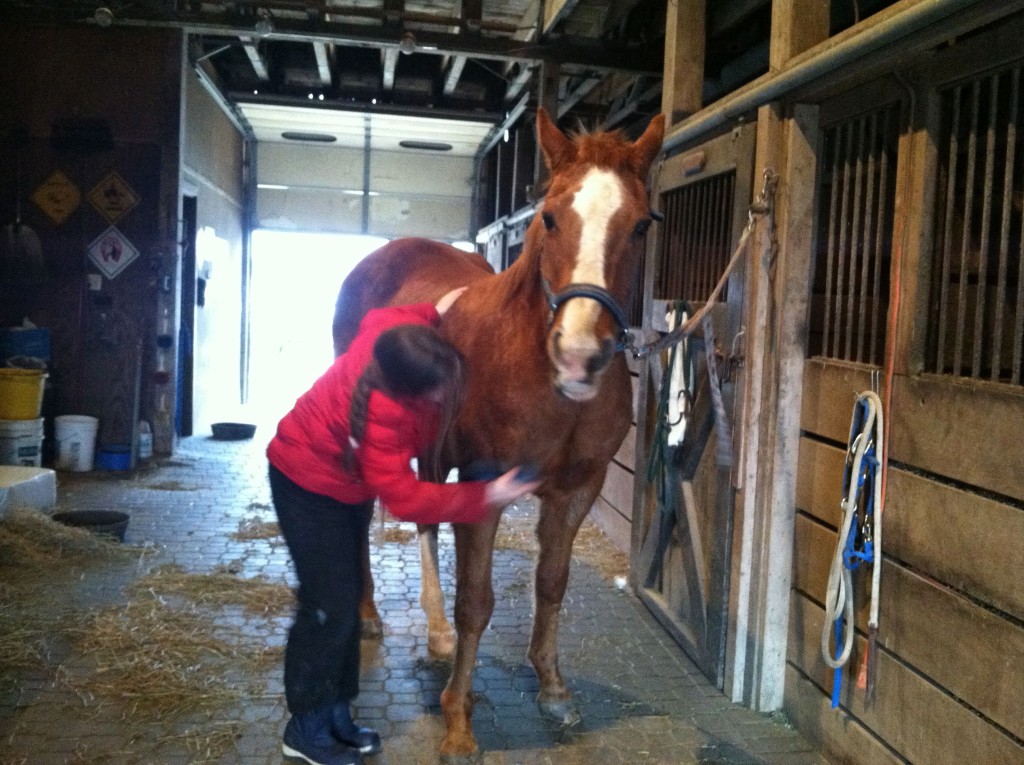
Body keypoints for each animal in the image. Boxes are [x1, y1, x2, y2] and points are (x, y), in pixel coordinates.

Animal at [329, 105, 663, 761]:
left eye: (641, 225)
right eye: (550, 217)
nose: (579, 354)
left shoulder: (575, 490)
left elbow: (551, 584)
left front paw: (553, 689)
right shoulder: (483, 487)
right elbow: (477, 603)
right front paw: (459, 725)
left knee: (425, 521)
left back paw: (433, 634)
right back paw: (371, 616)